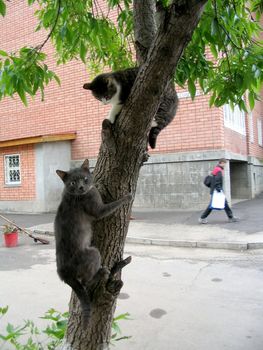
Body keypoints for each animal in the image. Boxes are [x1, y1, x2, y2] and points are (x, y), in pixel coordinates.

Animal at [54, 159, 132, 326]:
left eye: (84, 178)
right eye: (72, 182)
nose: (81, 187)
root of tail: (62, 273)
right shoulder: (97, 209)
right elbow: (109, 207)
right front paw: (127, 197)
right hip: (92, 253)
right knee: (85, 281)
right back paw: (102, 272)